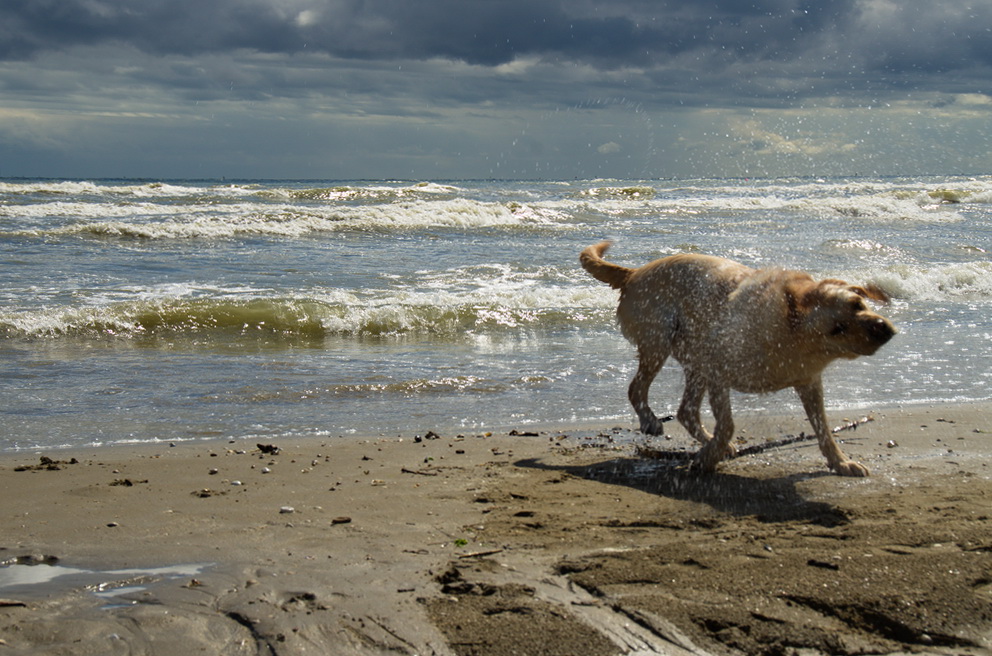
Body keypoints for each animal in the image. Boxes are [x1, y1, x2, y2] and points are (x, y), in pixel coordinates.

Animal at [580, 241, 900, 476]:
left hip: (694, 359)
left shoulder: (809, 383)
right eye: (837, 328)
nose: (886, 330)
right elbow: (728, 424)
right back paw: (652, 422)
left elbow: (823, 428)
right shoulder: (719, 372)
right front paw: (707, 459)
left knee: (685, 411)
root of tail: (632, 272)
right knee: (638, 389)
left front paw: (840, 462)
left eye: (858, 303)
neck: (789, 332)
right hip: (659, 343)